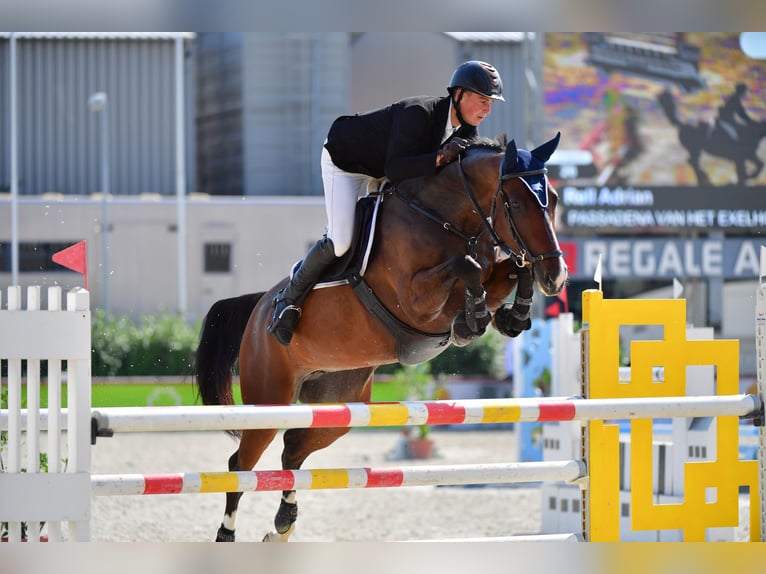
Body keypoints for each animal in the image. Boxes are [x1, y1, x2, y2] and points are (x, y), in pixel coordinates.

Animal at [194, 133, 568, 544]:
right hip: (270, 398)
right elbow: (466, 267)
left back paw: (284, 522)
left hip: (337, 405)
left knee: (292, 449)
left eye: (554, 199)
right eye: (515, 202)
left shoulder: (490, 273)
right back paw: (227, 533)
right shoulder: (415, 301)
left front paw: (512, 316)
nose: (557, 276)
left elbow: (513, 268)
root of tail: (260, 305)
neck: (448, 219)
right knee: (241, 464)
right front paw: (474, 319)